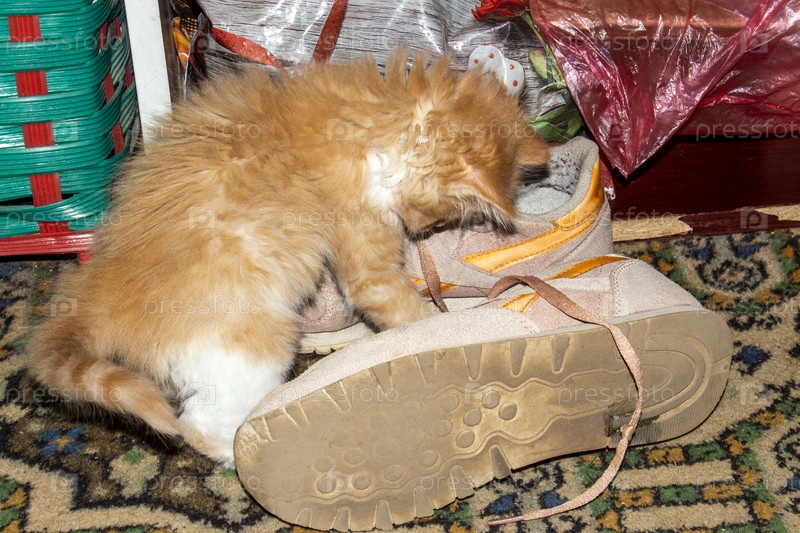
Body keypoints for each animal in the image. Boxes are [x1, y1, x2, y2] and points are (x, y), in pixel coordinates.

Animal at [27, 51, 549, 465]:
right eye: (440, 216)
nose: (420, 231)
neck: (375, 119)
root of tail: (94, 294)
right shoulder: (367, 259)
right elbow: (410, 315)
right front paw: (444, 334)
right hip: (255, 339)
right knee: (199, 426)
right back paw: (251, 453)